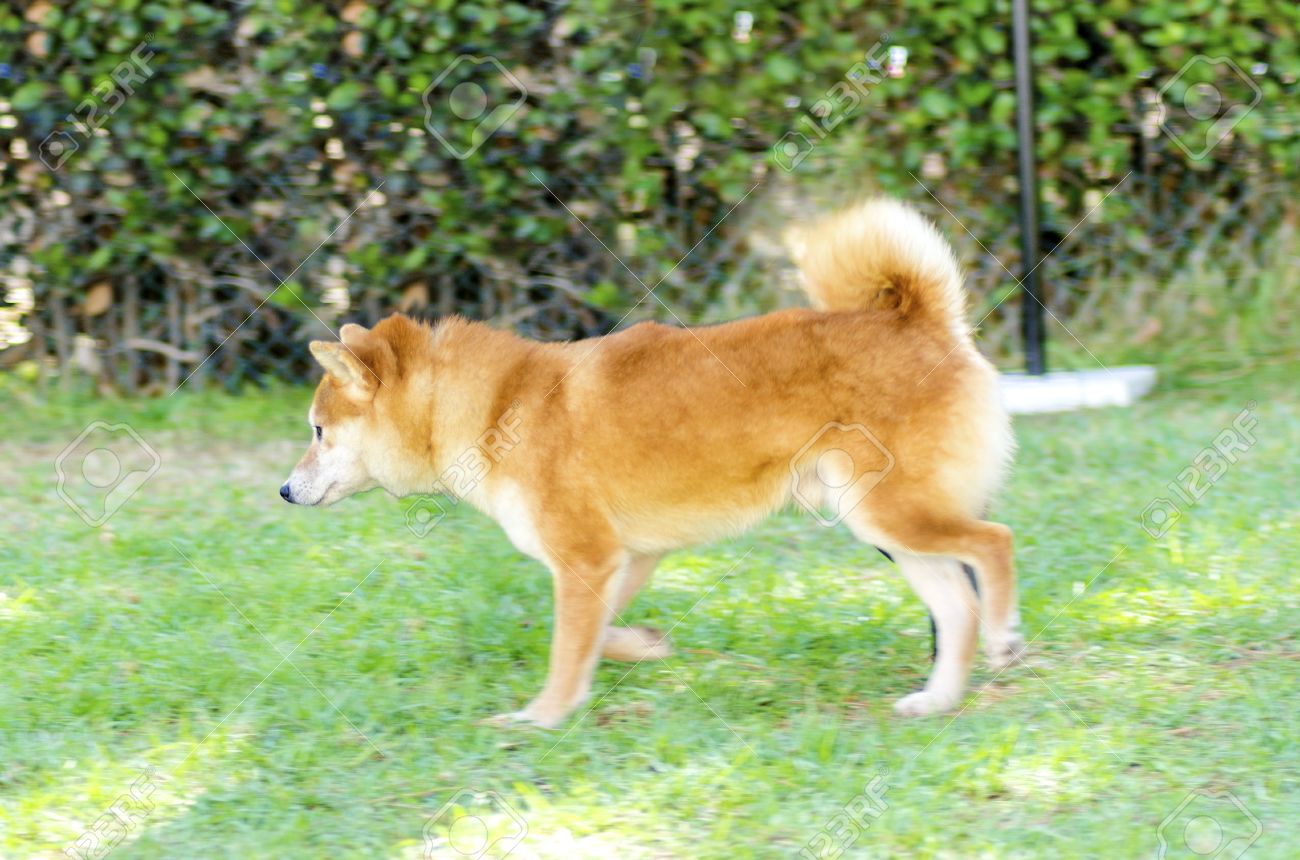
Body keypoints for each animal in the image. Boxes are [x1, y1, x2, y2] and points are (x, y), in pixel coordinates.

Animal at [282, 200, 1024, 727]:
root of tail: (922, 322)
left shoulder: (585, 558)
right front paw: (642, 647)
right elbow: (596, 636)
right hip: (881, 526)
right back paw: (937, 700)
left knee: (994, 544)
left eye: (317, 430)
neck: (496, 407)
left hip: (892, 512)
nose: (286, 490)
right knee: (957, 606)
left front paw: (541, 716)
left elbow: (565, 651)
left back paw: (1005, 638)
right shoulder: (625, 558)